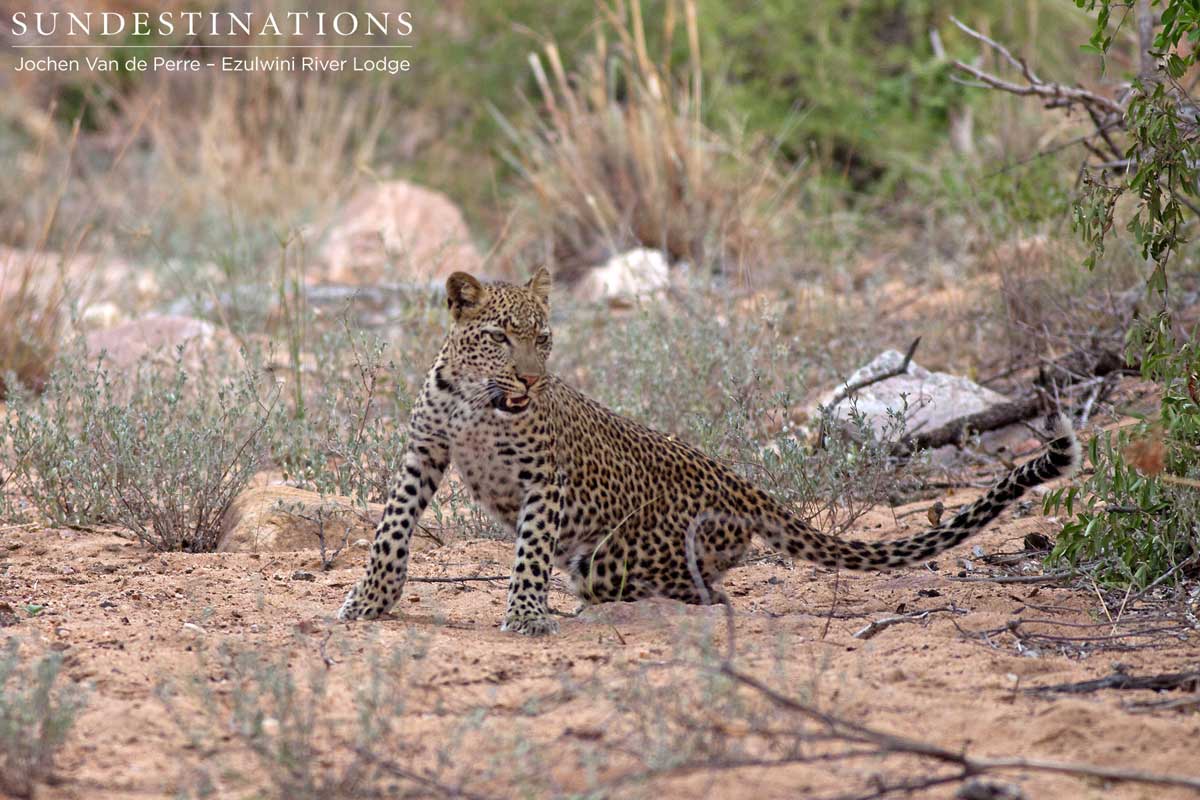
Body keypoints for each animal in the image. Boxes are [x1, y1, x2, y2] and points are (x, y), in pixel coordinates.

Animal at [336, 268, 1080, 638]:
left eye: (542, 339)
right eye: (499, 337)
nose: (531, 380)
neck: (476, 401)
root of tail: (737, 481)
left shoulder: (545, 480)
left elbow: (529, 550)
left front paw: (524, 616)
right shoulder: (424, 452)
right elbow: (389, 529)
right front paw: (370, 602)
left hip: (620, 555)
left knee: (700, 591)